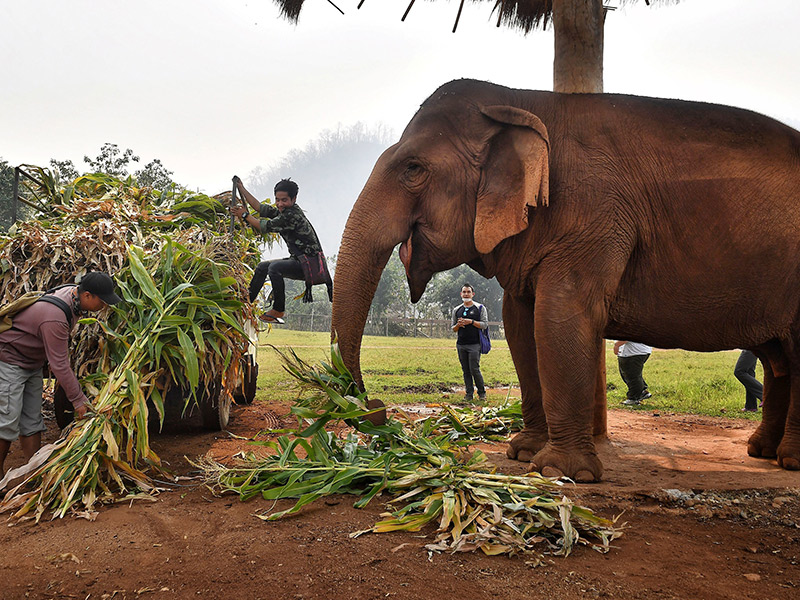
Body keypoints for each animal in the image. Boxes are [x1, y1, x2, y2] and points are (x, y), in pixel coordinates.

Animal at [330, 78, 800, 482]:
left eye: (413, 168)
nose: (374, 409)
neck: (518, 100)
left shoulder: (594, 216)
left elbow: (560, 318)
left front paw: (562, 471)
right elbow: (521, 325)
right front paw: (522, 452)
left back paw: (788, 460)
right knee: (780, 360)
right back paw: (762, 452)